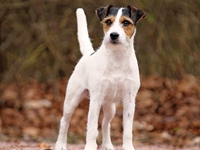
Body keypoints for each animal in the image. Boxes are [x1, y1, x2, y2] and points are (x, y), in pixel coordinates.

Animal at [54, 4, 145, 150]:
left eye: (126, 22)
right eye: (108, 21)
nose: (114, 35)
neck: (116, 58)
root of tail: (88, 54)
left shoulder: (129, 100)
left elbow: (127, 130)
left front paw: (128, 147)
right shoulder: (95, 99)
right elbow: (91, 127)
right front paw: (90, 146)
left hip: (110, 107)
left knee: (105, 123)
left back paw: (107, 145)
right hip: (71, 101)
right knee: (64, 121)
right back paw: (61, 145)